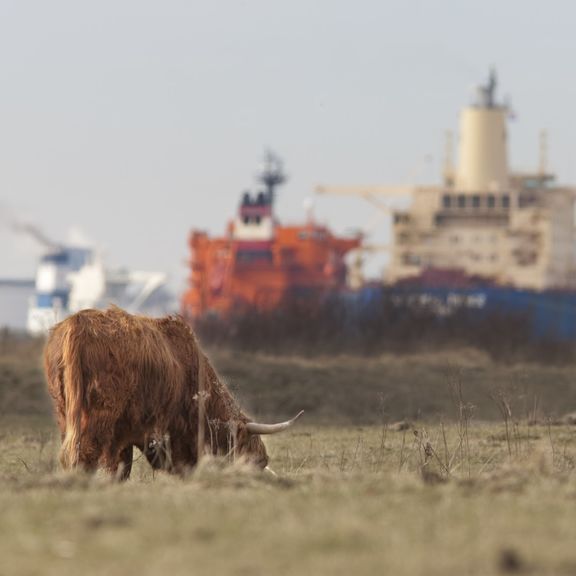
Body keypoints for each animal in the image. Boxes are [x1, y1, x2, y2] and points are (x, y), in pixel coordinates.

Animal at [43, 308, 304, 480]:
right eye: (247, 452)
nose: (263, 462)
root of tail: (76, 324)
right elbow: (119, 467)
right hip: (99, 416)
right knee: (84, 453)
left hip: (65, 412)